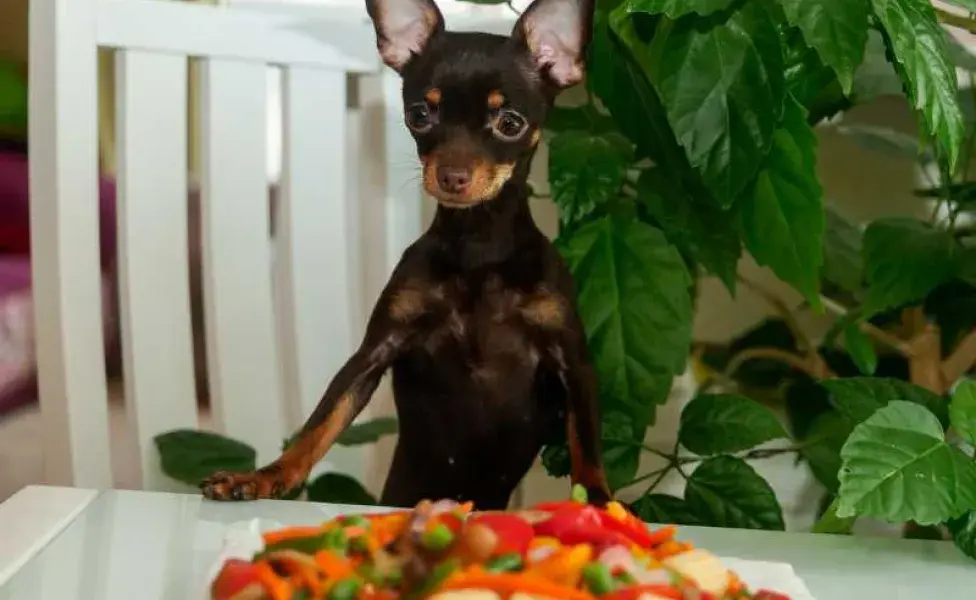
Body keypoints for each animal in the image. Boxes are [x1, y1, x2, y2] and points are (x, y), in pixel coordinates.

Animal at [199, 0, 608, 508]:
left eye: (510, 123)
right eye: (419, 115)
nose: (451, 176)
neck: (478, 247)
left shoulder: (574, 365)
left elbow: (586, 448)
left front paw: (601, 503)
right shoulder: (373, 352)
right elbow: (319, 425)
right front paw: (261, 477)